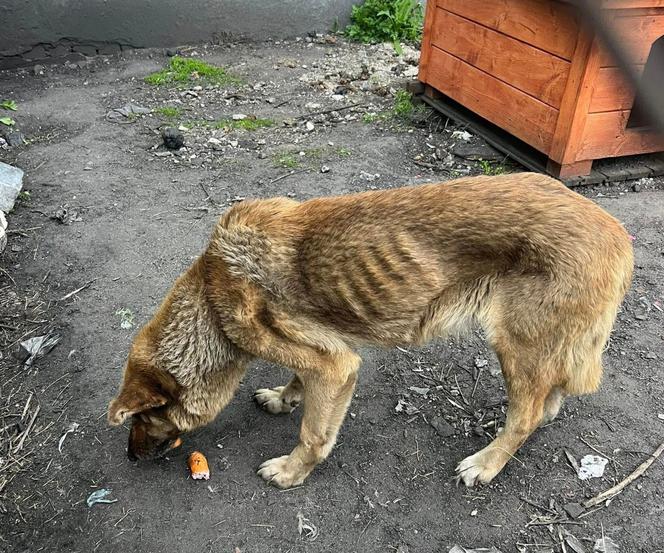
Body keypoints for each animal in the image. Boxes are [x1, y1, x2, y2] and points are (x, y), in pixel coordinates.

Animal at [106, 174, 632, 488]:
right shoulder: (322, 352)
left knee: (525, 416)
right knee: (548, 398)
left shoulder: (335, 365)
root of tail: (618, 234)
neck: (213, 295)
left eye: (143, 419)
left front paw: (292, 471)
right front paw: (284, 397)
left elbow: (313, 433)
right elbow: (298, 383)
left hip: (514, 345)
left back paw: (486, 463)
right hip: (541, 349)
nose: (129, 459)